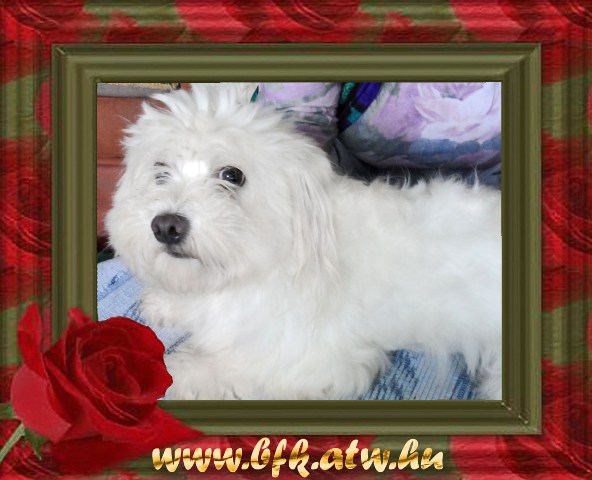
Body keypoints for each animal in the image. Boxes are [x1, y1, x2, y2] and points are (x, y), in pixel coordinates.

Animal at [106, 84, 502, 400]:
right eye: (160, 171)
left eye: (232, 175)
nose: (166, 226)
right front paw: (170, 303)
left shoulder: (314, 360)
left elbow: (218, 365)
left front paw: (166, 371)